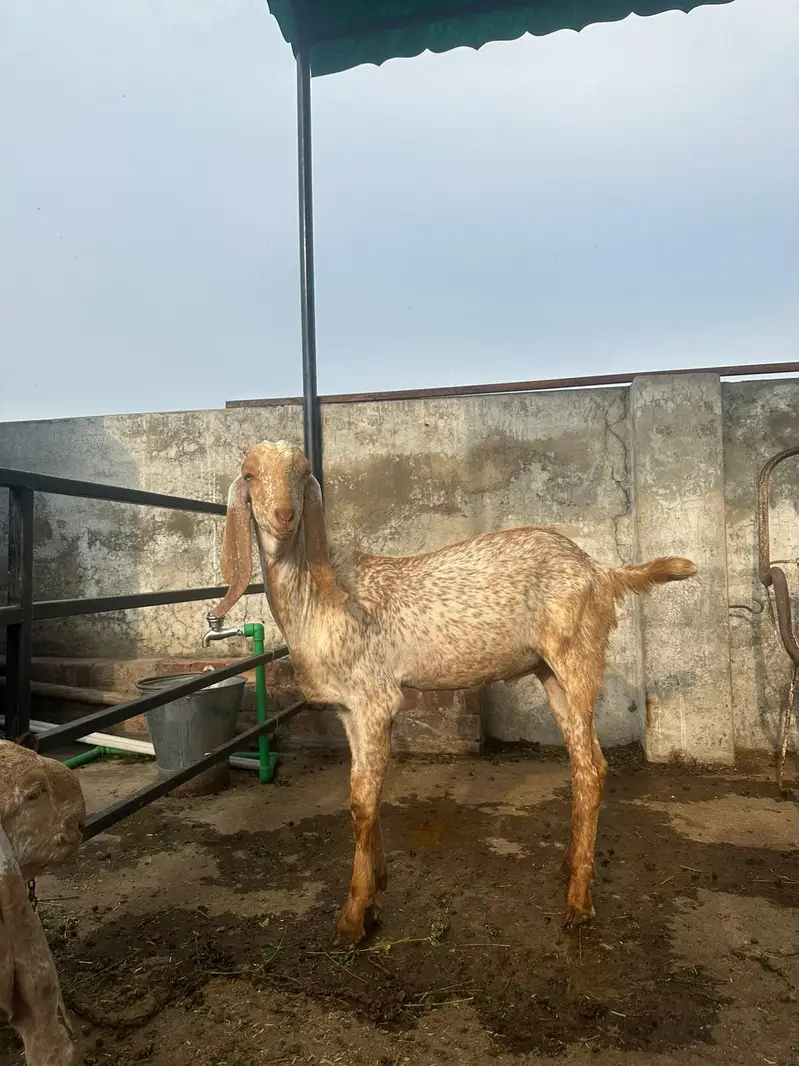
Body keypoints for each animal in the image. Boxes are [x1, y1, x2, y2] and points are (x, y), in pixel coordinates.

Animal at [211, 440, 697, 946]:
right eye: (249, 475)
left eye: (302, 473)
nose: (284, 515)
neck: (322, 596)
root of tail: (600, 573)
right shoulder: (350, 710)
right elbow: (366, 797)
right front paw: (376, 891)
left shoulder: (374, 699)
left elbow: (361, 803)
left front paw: (353, 917)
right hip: (551, 674)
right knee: (582, 763)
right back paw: (570, 868)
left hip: (577, 656)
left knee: (593, 767)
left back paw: (579, 903)